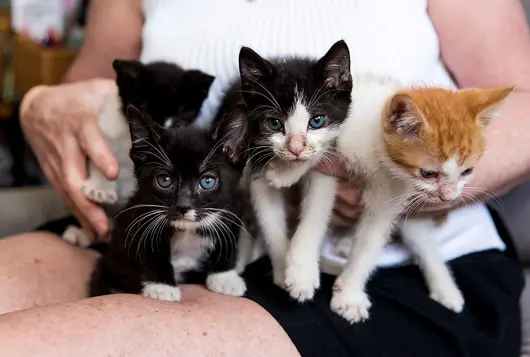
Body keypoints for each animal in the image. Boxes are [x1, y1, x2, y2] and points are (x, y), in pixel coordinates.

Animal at [89, 105, 249, 300]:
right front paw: (162, 286)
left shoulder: (233, 207)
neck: (188, 231)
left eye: (208, 181)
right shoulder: (142, 213)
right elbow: (150, 248)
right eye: (164, 180)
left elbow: (228, 240)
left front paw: (225, 277)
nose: (183, 206)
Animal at [230, 39, 350, 300]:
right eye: (274, 123)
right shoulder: (256, 166)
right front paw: (283, 271)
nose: (295, 148)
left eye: (317, 121)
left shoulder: (326, 171)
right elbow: (271, 224)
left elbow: (316, 214)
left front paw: (301, 274)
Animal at [328, 76, 510, 324]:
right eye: (428, 174)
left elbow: (369, 243)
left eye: (467, 172)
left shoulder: (392, 199)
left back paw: (446, 290)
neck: (377, 153)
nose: (448, 197)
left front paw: (349, 295)